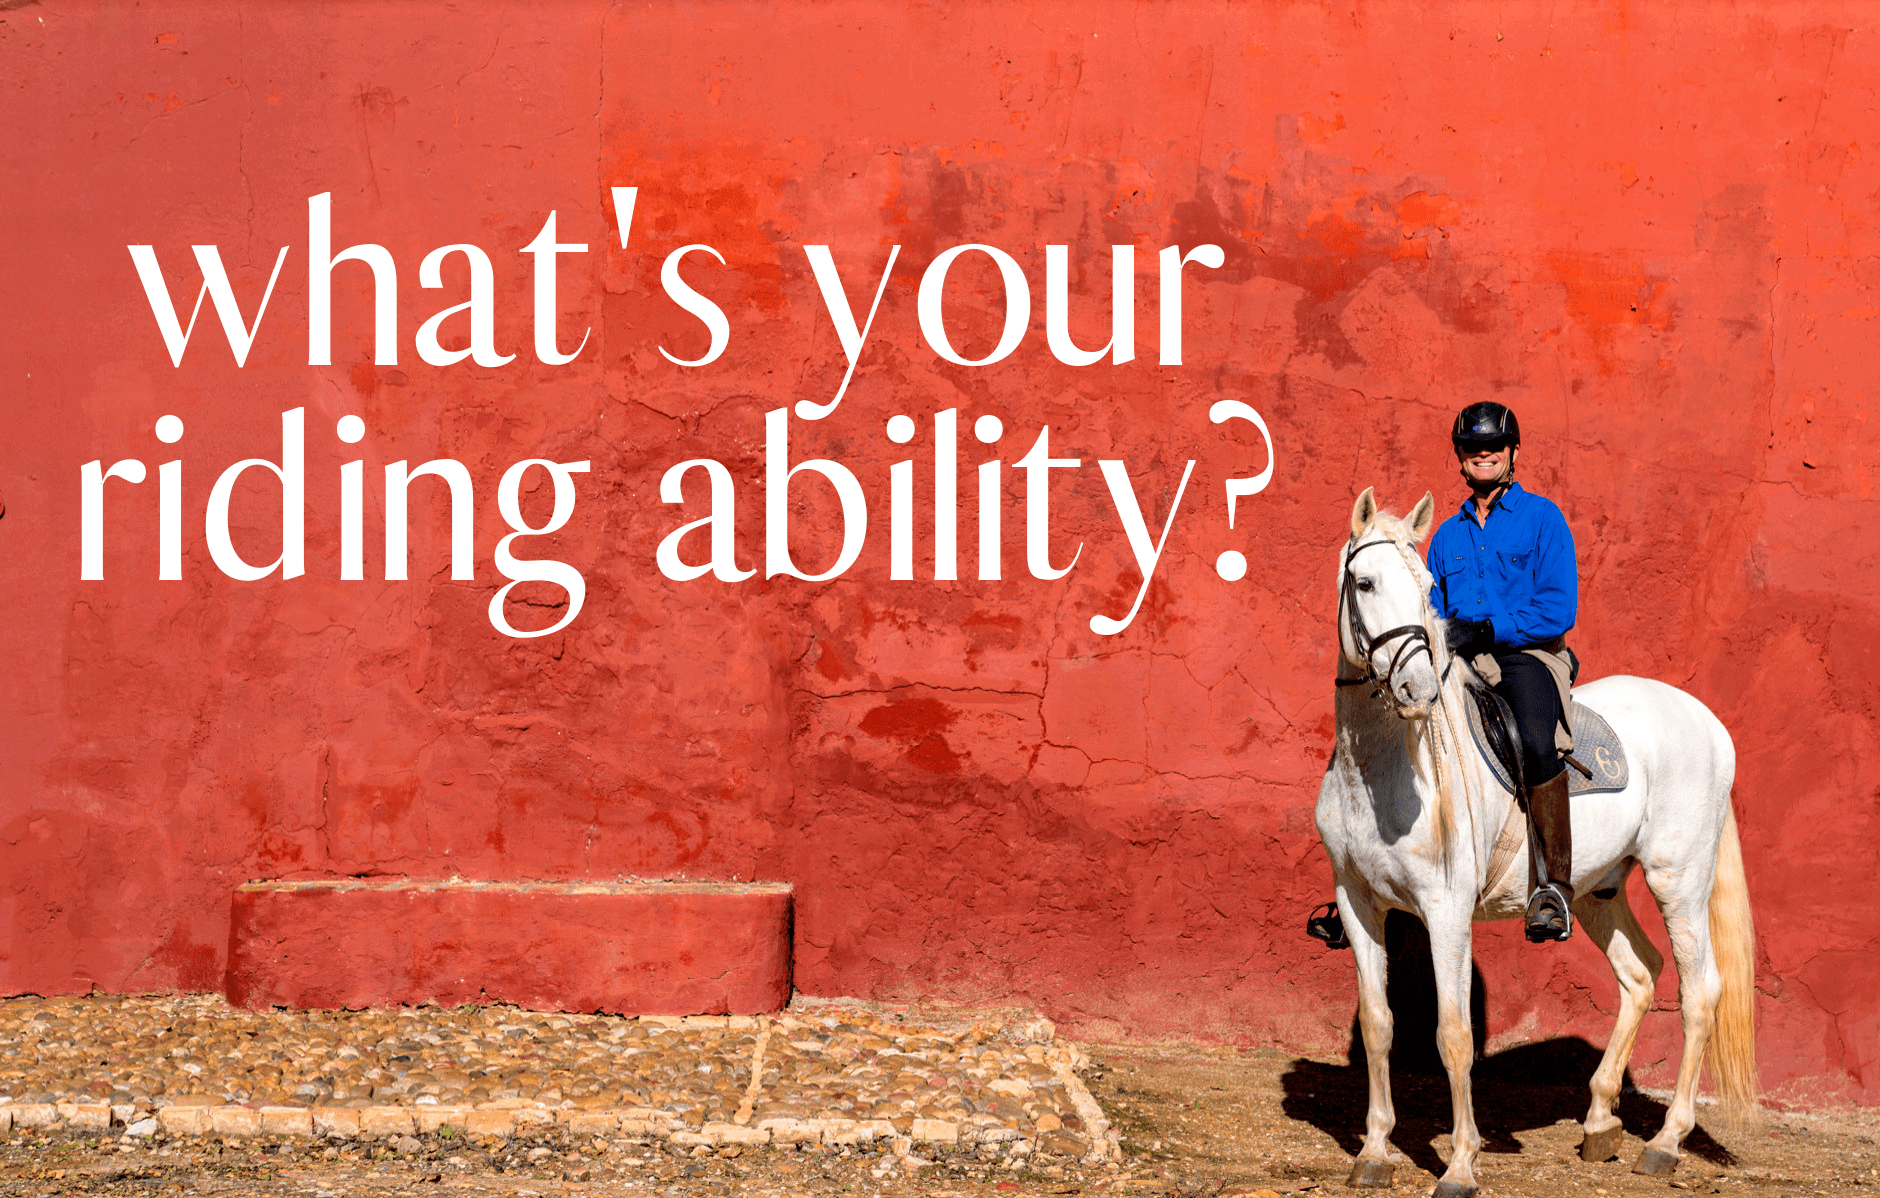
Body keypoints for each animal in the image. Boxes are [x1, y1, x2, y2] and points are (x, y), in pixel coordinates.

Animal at [1313, 487, 1756, 1198]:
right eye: (1365, 582)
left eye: (1427, 589)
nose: (1417, 691)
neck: (1383, 771)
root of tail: (1705, 719)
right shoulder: (1357, 901)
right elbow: (1380, 1025)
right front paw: (1375, 1152)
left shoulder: (1444, 911)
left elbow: (1453, 1034)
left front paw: (1460, 1166)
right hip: (1598, 890)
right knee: (1640, 975)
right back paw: (1600, 1120)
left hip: (1679, 882)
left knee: (1700, 992)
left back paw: (1665, 1142)